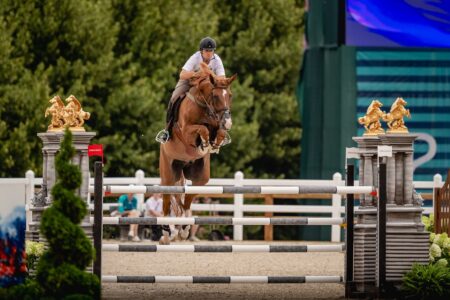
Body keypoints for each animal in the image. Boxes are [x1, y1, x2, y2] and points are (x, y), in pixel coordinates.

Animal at [159, 62, 237, 244]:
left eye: (229, 95)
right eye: (215, 96)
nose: (228, 122)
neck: (204, 105)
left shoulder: (217, 126)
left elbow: (218, 132)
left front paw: (212, 145)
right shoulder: (186, 131)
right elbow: (201, 129)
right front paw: (205, 143)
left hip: (199, 177)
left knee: (186, 202)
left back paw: (184, 229)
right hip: (168, 175)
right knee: (167, 203)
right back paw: (166, 233)